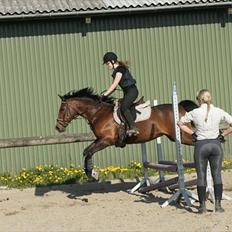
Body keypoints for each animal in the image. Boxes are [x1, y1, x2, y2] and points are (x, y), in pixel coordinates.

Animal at [54, 87, 198, 179]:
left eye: (62, 109)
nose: (58, 127)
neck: (98, 113)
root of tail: (180, 106)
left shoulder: (107, 140)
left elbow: (89, 152)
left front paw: (93, 174)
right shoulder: (100, 139)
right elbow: (86, 152)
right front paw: (91, 173)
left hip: (180, 135)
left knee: (195, 139)